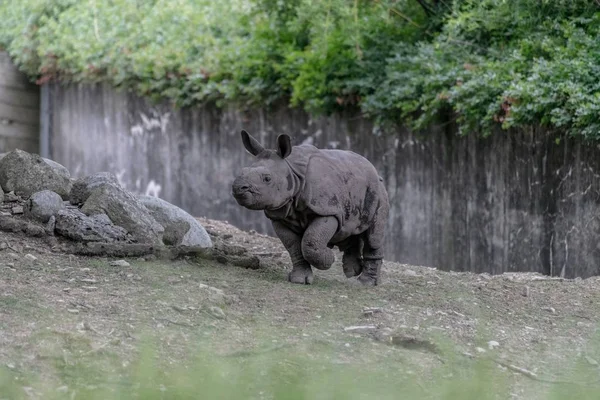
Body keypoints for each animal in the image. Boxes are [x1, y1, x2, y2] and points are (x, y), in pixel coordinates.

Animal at [230, 130, 390, 284]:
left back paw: (365, 283)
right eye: (242, 171)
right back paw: (352, 271)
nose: (238, 188)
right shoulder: (279, 216)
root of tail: (375, 171)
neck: (293, 171)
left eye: (267, 179)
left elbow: (310, 242)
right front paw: (299, 279)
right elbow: (293, 246)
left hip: (378, 190)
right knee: (352, 228)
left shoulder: (328, 210)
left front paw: (329, 259)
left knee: (373, 236)